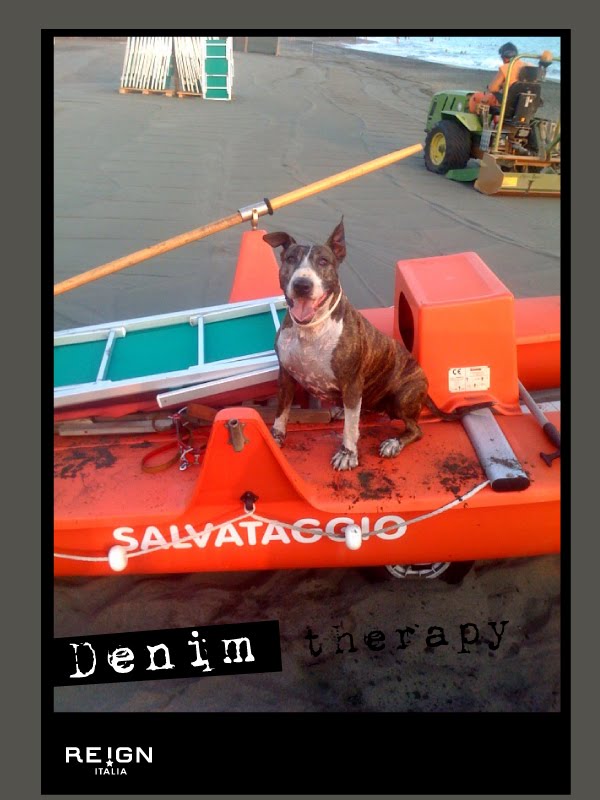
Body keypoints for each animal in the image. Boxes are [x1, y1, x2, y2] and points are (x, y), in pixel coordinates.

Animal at [263, 218, 490, 471]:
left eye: (323, 261)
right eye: (290, 259)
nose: (302, 284)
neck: (311, 330)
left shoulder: (352, 382)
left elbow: (350, 430)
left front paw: (348, 454)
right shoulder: (286, 376)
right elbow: (281, 412)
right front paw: (276, 438)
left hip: (402, 397)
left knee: (415, 429)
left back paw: (394, 442)